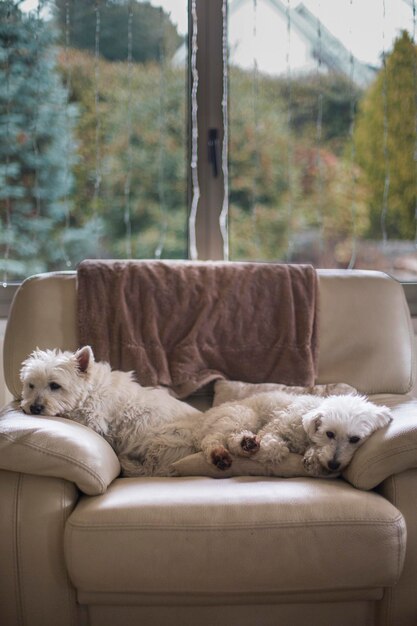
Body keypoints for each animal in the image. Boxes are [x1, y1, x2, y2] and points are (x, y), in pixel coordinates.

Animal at [19, 346, 200, 472]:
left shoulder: (94, 420)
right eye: (31, 385)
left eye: (55, 385)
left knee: (153, 469)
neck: (90, 391)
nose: (34, 407)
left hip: (164, 439)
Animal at [197, 390, 392, 472]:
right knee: (213, 440)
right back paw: (229, 451)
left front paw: (312, 458)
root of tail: (205, 416)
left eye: (355, 439)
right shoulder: (273, 427)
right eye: (329, 433)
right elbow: (277, 448)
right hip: (244, 416)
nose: (333, 465)